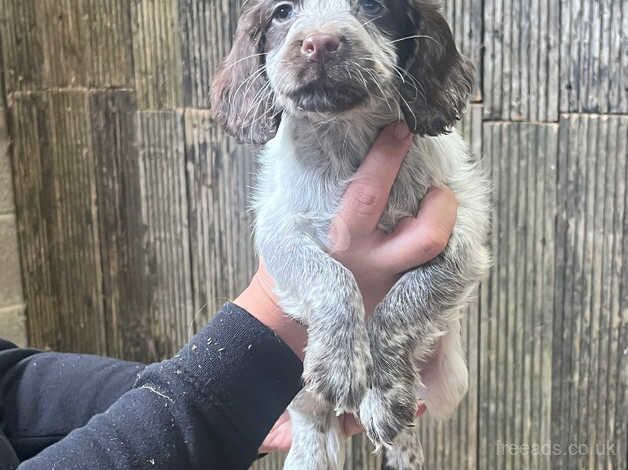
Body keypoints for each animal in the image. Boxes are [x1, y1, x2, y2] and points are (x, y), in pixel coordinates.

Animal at [211, 1, 490, 468]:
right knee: (311, 416)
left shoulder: (462, 238)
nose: (319, 43)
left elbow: (405, 303)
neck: (345, 137)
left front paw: (383, 390)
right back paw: (311, 454)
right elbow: (330, 276)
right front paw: (341, 363)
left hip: (454, 380)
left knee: (407, 423)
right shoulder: (278, 232)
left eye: (375, 6)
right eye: (282, 12)